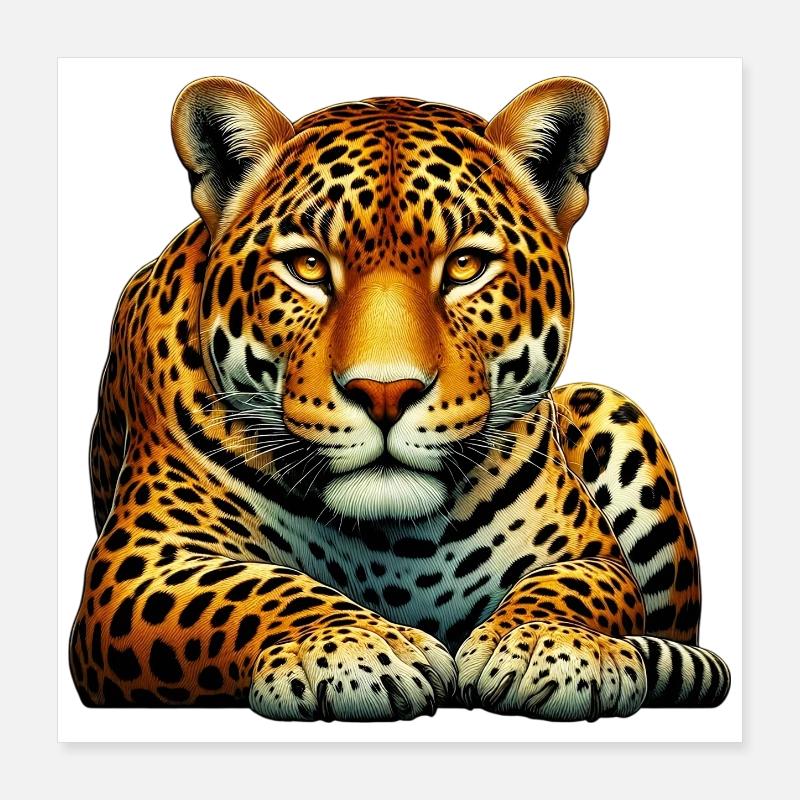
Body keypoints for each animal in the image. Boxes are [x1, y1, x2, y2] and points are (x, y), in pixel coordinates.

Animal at [69, 75, 730, 722]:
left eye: (465, 265)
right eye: (307, 265)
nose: (385, 393)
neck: (393, 542)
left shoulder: (593, 555)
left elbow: (575, 586)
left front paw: (548, 645)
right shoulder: (138, 567)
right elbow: (249, 591)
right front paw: (355, 649)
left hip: (612, 406)